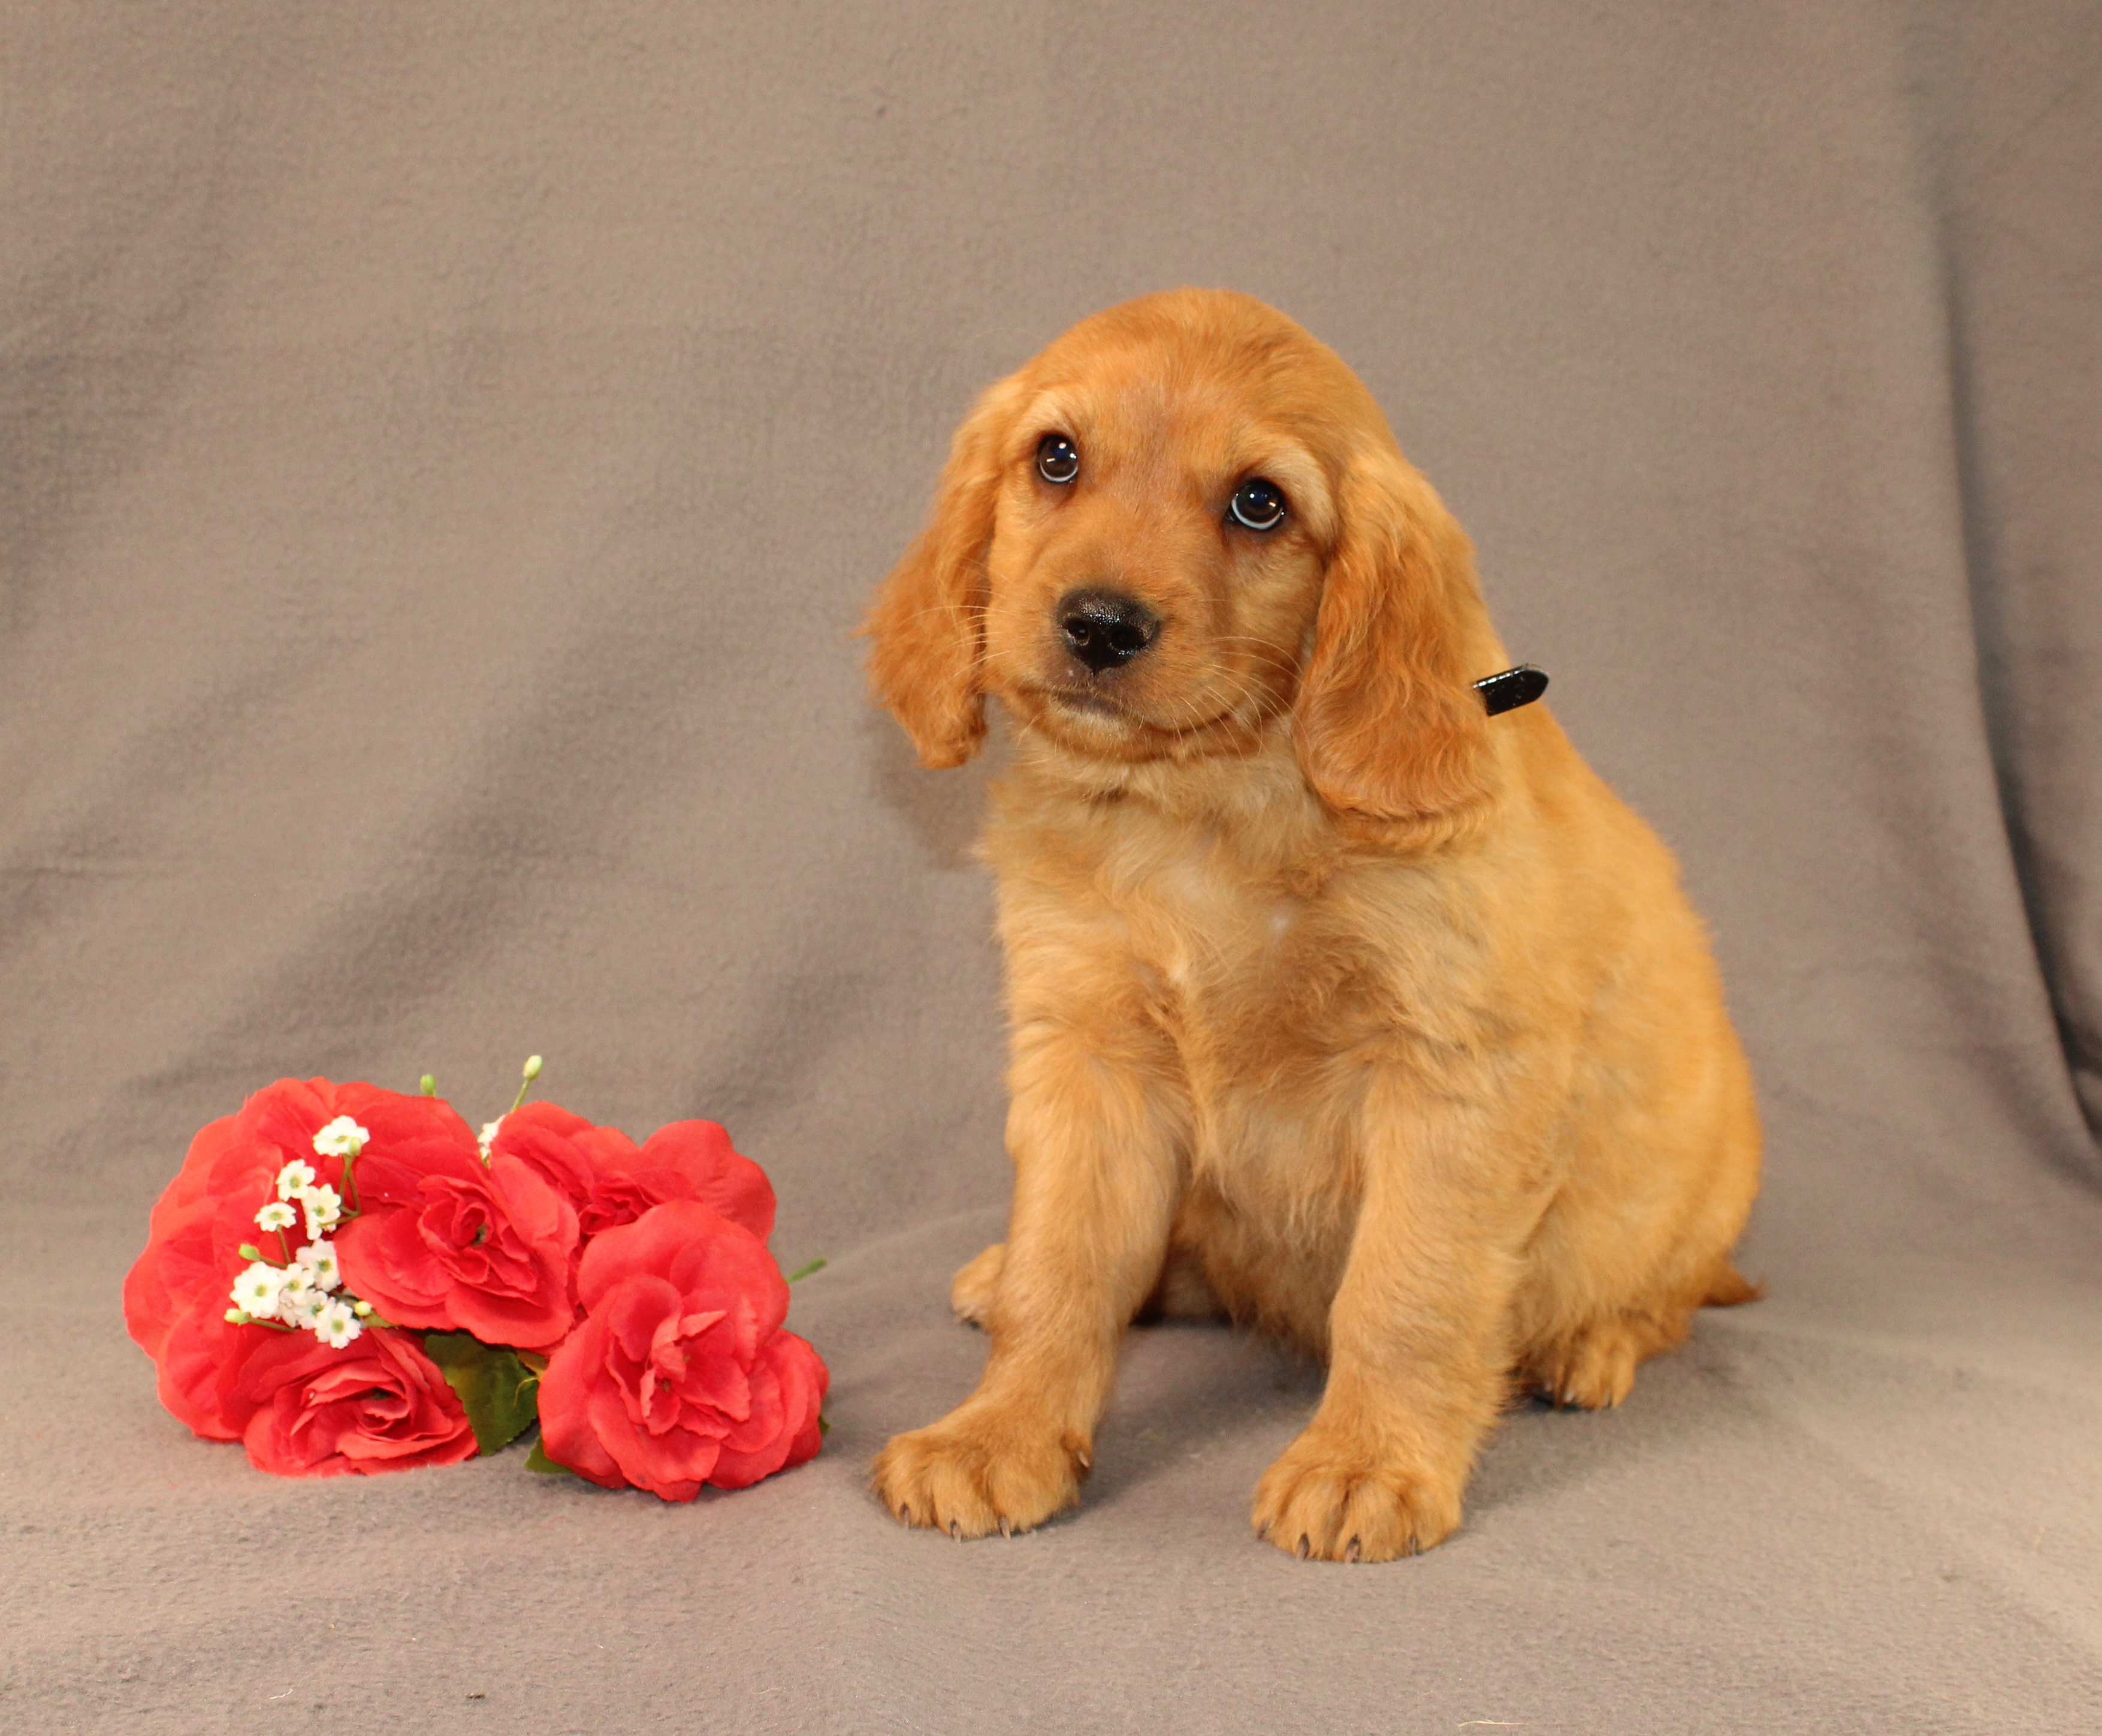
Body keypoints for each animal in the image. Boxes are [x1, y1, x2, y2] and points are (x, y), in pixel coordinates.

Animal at [853, 288, 1757, 1555]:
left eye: (1257, 502)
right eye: (1056, 459)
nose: (1099, 626)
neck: (1205, 810)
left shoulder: (1450, 1077)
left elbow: (1404, 1291)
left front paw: (1365, 1462)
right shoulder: (1089, 1052)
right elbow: (1064, 1266)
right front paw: (998, 1434)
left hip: (1688, 1204)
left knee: (1662, 1295)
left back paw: (1591, 1341)